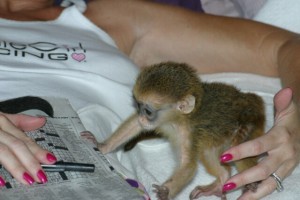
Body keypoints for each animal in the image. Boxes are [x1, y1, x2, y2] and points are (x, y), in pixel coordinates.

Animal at [97, 61, 264, 199]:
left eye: (148, 112)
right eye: (139, 107)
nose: (143, 118)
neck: (176, 120)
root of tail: (249, 102)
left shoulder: (189, 132)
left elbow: (188, 166)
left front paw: (165, 192)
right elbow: (135, 124)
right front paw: (102, 147)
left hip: (250, 127)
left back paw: (252, 183)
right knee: (208, 152)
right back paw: (222, 178)